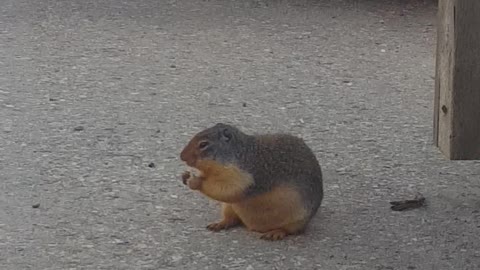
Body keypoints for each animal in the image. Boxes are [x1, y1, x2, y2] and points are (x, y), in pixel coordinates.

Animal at [179, 123, 322, 240]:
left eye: (203, 144)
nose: (182, 156)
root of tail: (254, 227)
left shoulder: (247, 177)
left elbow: (228, 190)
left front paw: (194, 181)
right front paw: (185, 175)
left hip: (298, 219)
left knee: (289, 230)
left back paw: (275, 232)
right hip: (228, 207)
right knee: (232, 219)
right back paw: (220, 223)